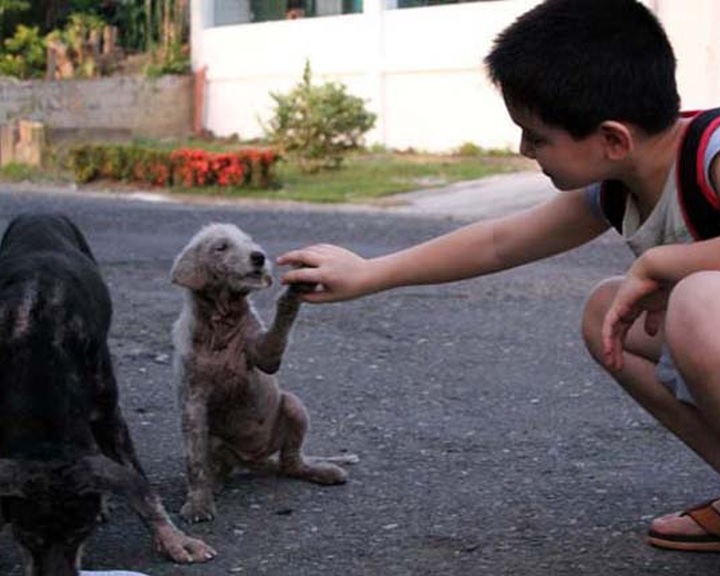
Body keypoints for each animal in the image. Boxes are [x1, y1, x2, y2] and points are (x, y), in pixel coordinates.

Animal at [0, 215, 215, 576]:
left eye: (81, 534)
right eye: (26, 536)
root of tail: (38, 213)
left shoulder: (108, 413)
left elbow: (142, 488)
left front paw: (173, 539)